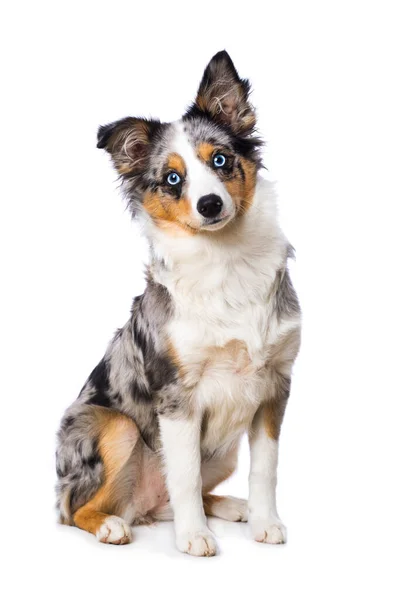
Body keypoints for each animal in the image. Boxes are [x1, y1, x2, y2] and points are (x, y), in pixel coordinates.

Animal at [55, 49, 300, 556]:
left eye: (221, 159)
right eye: (172, 179)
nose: (209, 205)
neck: (227, 261)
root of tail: (141, 507)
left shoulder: (275, 386)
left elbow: (266, 469)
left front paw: (265, 522)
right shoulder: (176, 396)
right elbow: (183, 474)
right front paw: (193, 537)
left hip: (223, 451)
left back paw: (232, 507)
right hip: (117, 428)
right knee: (75, 509)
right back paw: (111, 526)